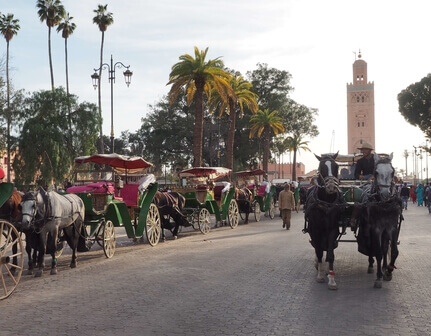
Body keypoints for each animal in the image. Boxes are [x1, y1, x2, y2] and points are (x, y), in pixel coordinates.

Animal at [306, 154, 346, 290]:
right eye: (321, 167)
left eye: (336, 166)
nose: (331, 187)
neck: (326, 203)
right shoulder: (315, 230)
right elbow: (318, 252)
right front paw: (320, 274)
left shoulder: (332, 229)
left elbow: (330, 254)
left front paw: (332, 279)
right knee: (316, 247)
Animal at [352, 154, 404, 288]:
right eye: (376, 172)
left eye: (393, 172)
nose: (386, 194)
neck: (384, 205)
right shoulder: (376, 229)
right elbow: (378, 252)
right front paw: (379, 277)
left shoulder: (392, 228)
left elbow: (393, 251)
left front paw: (389, 270)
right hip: (367, 228)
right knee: (371, 244)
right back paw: (371, 264)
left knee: (385, 246)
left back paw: (385, 267)